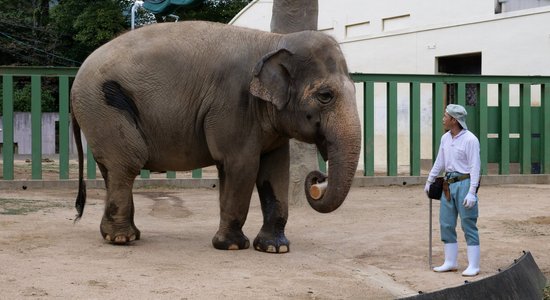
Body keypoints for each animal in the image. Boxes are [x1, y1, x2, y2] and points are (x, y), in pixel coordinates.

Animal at [71, 19, 364, 253]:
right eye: (325, 96)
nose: (317, 180)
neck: (275, 40)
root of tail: (76, 77)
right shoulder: (233, 104)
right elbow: (241, 165)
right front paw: (232, 245)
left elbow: (275, 170)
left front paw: (275, 248)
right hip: (103, 107)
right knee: (127, 163)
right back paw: (122, 239)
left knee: (112, 168)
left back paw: (124, 235)